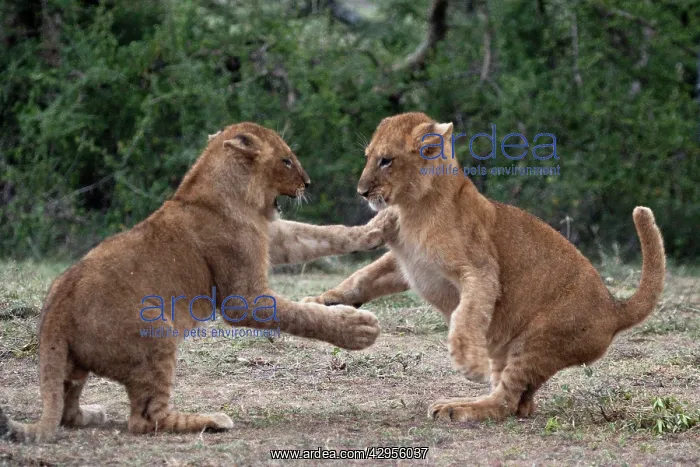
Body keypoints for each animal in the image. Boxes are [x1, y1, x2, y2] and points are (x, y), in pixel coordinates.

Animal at [0, 122, 395, 442]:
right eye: (286, 161)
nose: (307, 183)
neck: (229, 194)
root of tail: (55, 309)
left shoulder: (270, 236)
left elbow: (318, 235)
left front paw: (379, 227)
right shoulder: (242, 298)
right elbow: (299, 313)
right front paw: (358, 329)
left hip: (71, 363)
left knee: (66, 408)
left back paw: (91, 413)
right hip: (156, 334)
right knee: (145, 419)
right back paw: (212, 420)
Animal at [303, 112, 666, 422]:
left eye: (386, 160)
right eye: (368, 156)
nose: (361, 191)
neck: (412, 208)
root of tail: (614, 308)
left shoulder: (480, 270)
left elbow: (467, 313)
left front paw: (466, 359)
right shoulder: (406, 262)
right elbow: (363, 276)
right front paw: (322, 301)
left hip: (538, 340)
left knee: (505, 402)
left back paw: (457, 408)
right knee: (521, 404)